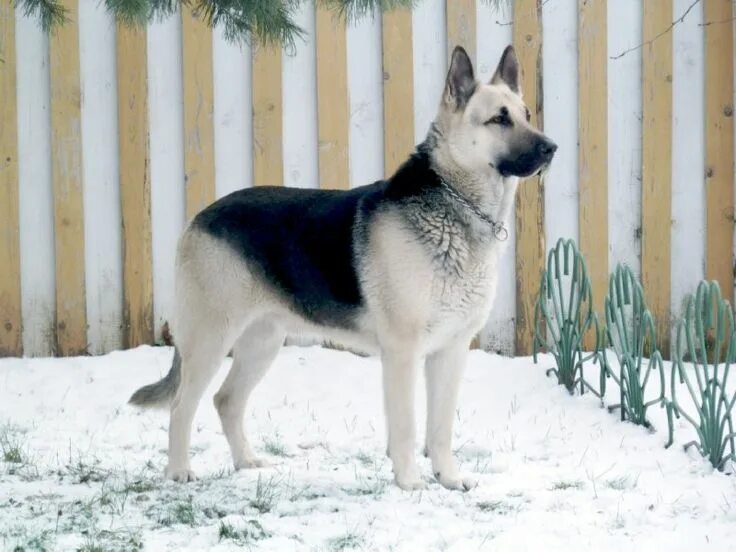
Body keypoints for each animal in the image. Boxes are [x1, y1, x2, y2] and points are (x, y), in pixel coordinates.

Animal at [131, 45, 556, 490]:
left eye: (526, 113)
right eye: (499, 119)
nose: (552, 148)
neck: (454, 201)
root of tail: (198, 216)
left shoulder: (451, 352)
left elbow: (440, 429)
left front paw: (449, 479)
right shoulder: (402, 354)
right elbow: (406, 426)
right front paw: (410, 484)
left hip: (263, 342)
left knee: (226, 400)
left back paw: (246, 462)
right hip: (212, 340)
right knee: (182, 406)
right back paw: (179, 471)